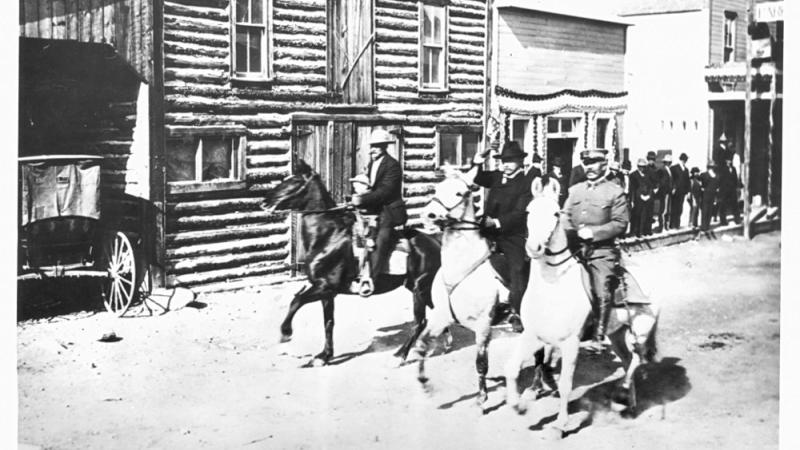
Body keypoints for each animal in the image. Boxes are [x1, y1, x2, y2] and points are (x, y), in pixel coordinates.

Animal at [262, 160, 440, 368]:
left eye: (295, 181)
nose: (264, 202)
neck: (328, 236)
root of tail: (434, 241)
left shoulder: (325, 286)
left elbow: (296, 301)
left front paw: (285, 333)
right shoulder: (326, 292)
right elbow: (328, 322)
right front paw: (324, 356)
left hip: (420, 287)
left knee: (420, 321)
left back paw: (399, 356)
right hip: (415, 286)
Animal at [412, 168, 506, 412]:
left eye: (459, 193)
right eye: (437, 188)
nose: (429, 215)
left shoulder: (484, 325)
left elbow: (481, 363)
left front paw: (482, 399)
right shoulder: (441, 317)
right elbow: (422, 345)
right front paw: (424, 384)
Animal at [504, 178, 660, 438]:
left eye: (556, 213)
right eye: (528, 211)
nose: (534, 247)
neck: (552, 285)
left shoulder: (571, 343)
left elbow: (565, 385)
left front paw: (560, 425)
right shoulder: (532, 335)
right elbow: (513, 368)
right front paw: (519, 406)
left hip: (640, 330)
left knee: (637, 361)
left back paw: (621, 396)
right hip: (616, 334)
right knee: (628, 360)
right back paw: (629, 403)